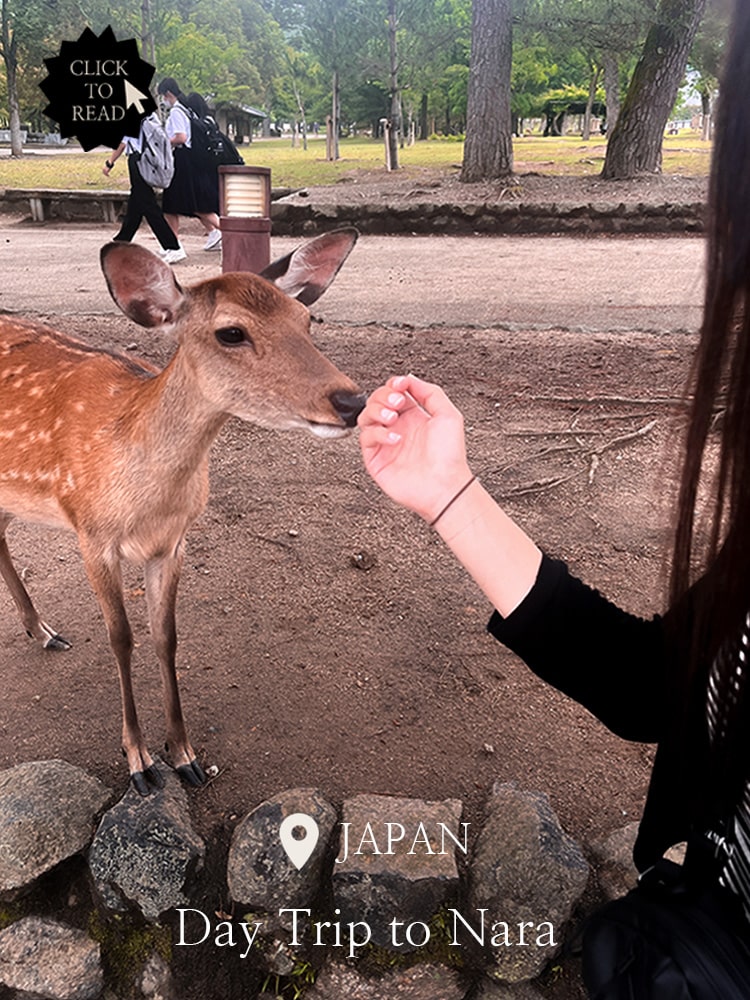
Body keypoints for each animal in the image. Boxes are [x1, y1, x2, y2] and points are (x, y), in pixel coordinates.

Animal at [0, 229, 364, 796]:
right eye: (231, 332)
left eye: (307, 320)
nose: (352, 402)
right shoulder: (91, 533)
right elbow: (121, 639)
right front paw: (140, 762)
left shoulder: (173, 542)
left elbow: (166, 637)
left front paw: (186, 755)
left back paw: (43, 631)